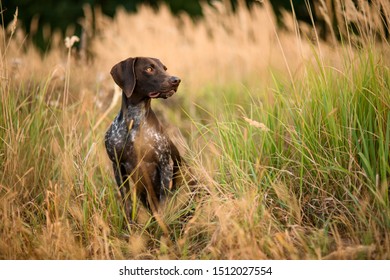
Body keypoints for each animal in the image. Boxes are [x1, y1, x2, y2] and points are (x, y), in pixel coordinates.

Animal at [104, 57, 182, 221]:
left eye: (164, 68)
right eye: (149, 69)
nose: (176, 80)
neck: (135, 120)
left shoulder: (165, 165)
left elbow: (163, 205)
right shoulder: (117, 166)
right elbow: (127, 204)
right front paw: (129, 226)